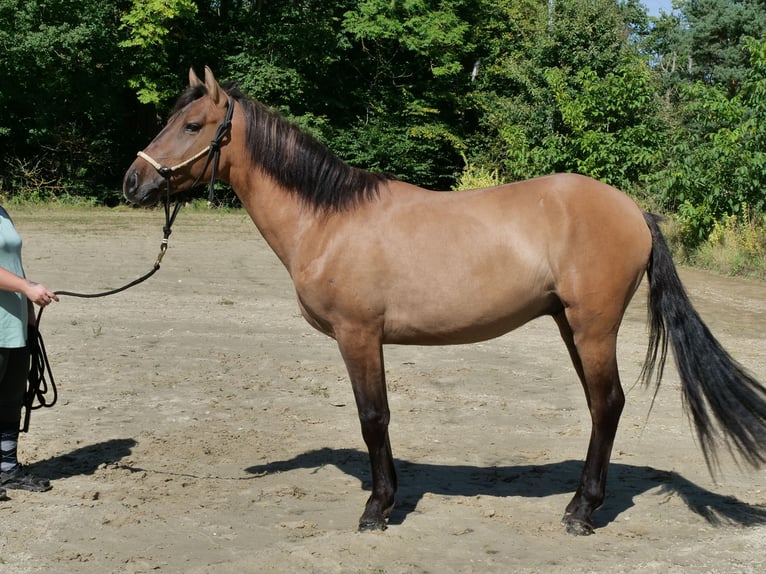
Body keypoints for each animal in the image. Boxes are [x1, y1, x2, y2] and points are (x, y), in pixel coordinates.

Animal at [123, 68, 766, 540]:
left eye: (194, 125)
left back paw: (582, 513)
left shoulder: (359, 336)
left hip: (593, 327)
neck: (327, 219)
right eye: (169, 120)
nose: (133, 183)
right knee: (598, 405)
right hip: (571, 325)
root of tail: (634, 211)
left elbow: (373, 418)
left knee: (607, 404)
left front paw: (377, 509)